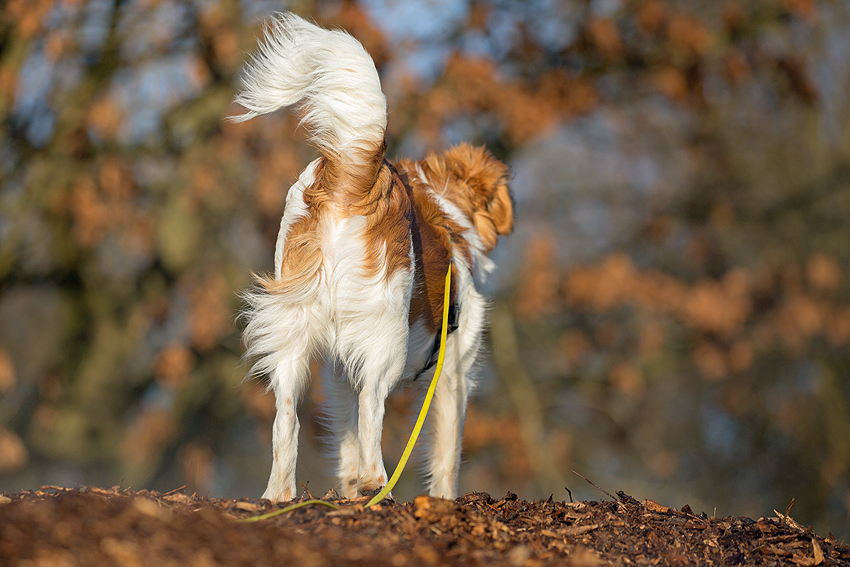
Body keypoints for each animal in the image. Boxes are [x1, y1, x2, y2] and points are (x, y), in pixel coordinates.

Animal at [232, 13, 510, 502]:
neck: (448, 212)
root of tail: (354, 174)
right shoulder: (453, 371)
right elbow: (446, 454)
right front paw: (442, 501)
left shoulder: (339, 368)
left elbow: (344, 435)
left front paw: (346, 490)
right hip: (386, 337)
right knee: (370, 404)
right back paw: (377, 483)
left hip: (294, 328)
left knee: (287, 417)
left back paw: (281, 495)